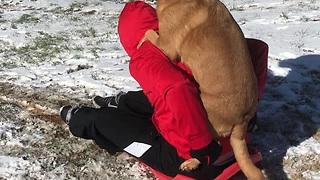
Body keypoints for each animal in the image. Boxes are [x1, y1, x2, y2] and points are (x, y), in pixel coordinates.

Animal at [141, 0, 264, 179]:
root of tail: (243, 120)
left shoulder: (166, 46)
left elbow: (148, 33)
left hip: (201, 111)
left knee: (210, 148)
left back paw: (191, 163)